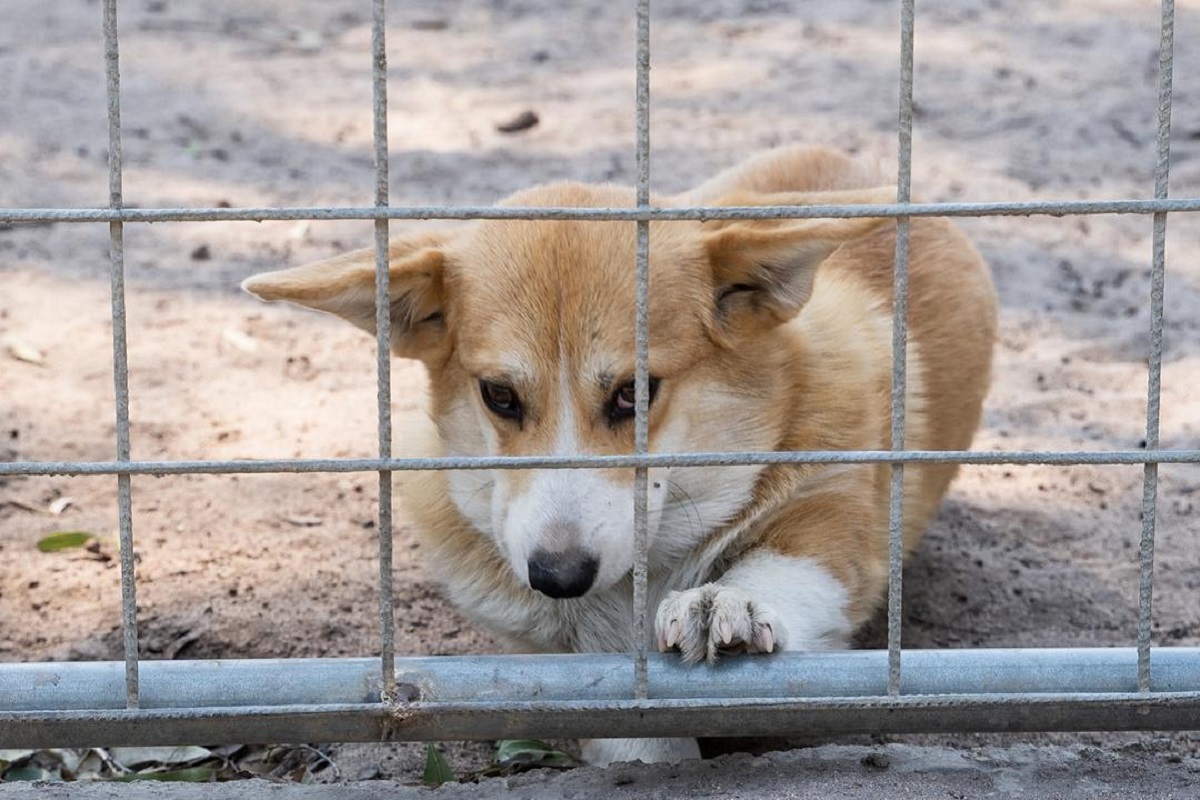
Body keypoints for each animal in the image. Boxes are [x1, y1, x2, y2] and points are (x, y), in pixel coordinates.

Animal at [241, 146, 993, 767]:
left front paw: (725, 601)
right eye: (499, 395)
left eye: (635, 391)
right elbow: (632, 735)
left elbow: (786, 566)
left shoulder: (834, 516)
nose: (557, 576)